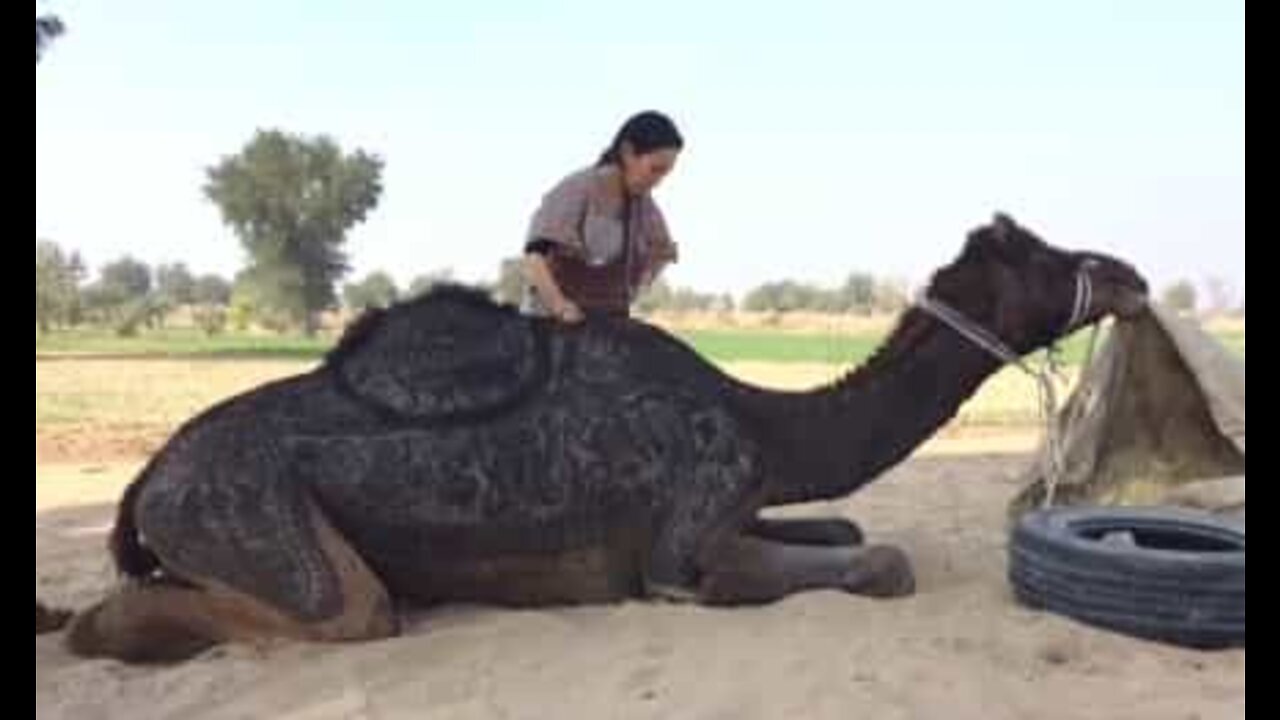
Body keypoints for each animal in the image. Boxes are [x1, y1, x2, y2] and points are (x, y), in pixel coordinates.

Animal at [62, 211, 1152, 661]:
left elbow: (844, 529)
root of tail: (143, 483)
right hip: (250, 515)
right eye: (1041, 256)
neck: (763, 420)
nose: (1132, 274)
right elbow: (880, 560)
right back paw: (109, 629)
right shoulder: (685, 545)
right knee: (345, 609)